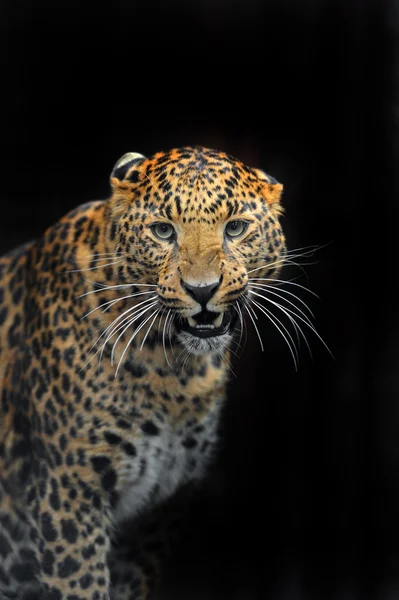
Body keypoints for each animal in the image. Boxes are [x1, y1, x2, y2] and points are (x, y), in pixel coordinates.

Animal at [0, 145, 288, 600]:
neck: (174, 369)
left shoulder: (156, 511)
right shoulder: (69, 494)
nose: (202, 290)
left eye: (236, 228)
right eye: (163, 231)